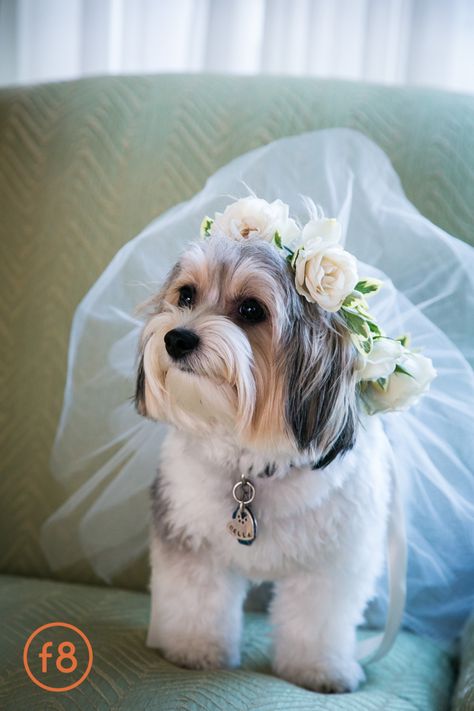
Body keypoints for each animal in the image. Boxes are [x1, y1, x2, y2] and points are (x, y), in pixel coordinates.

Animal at [136, 236, 388, 692]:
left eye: (252, 310)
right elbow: (196, 601)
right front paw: (194, 650)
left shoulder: (332, 564)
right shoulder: (191, 544)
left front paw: (318, 669)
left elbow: (317, 621)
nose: (177, 338)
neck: (254, 464)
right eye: (186, 295)